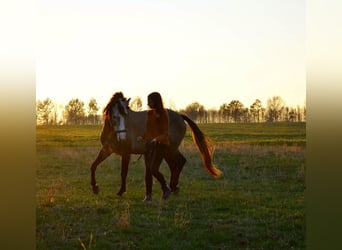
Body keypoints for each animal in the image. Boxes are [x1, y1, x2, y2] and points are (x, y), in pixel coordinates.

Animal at [90, 91, 222, 195]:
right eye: (115, 117)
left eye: (126, 115)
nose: (122, 138)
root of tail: (179, 116)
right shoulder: (106, 150)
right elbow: (93, 165)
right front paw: (95, 187)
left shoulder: (126, 153)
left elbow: (123, 172)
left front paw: (121, 191)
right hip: (169, 150)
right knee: (178, 163)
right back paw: (173, 186)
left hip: (169, 149)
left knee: (178, 163)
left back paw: (172, 186)